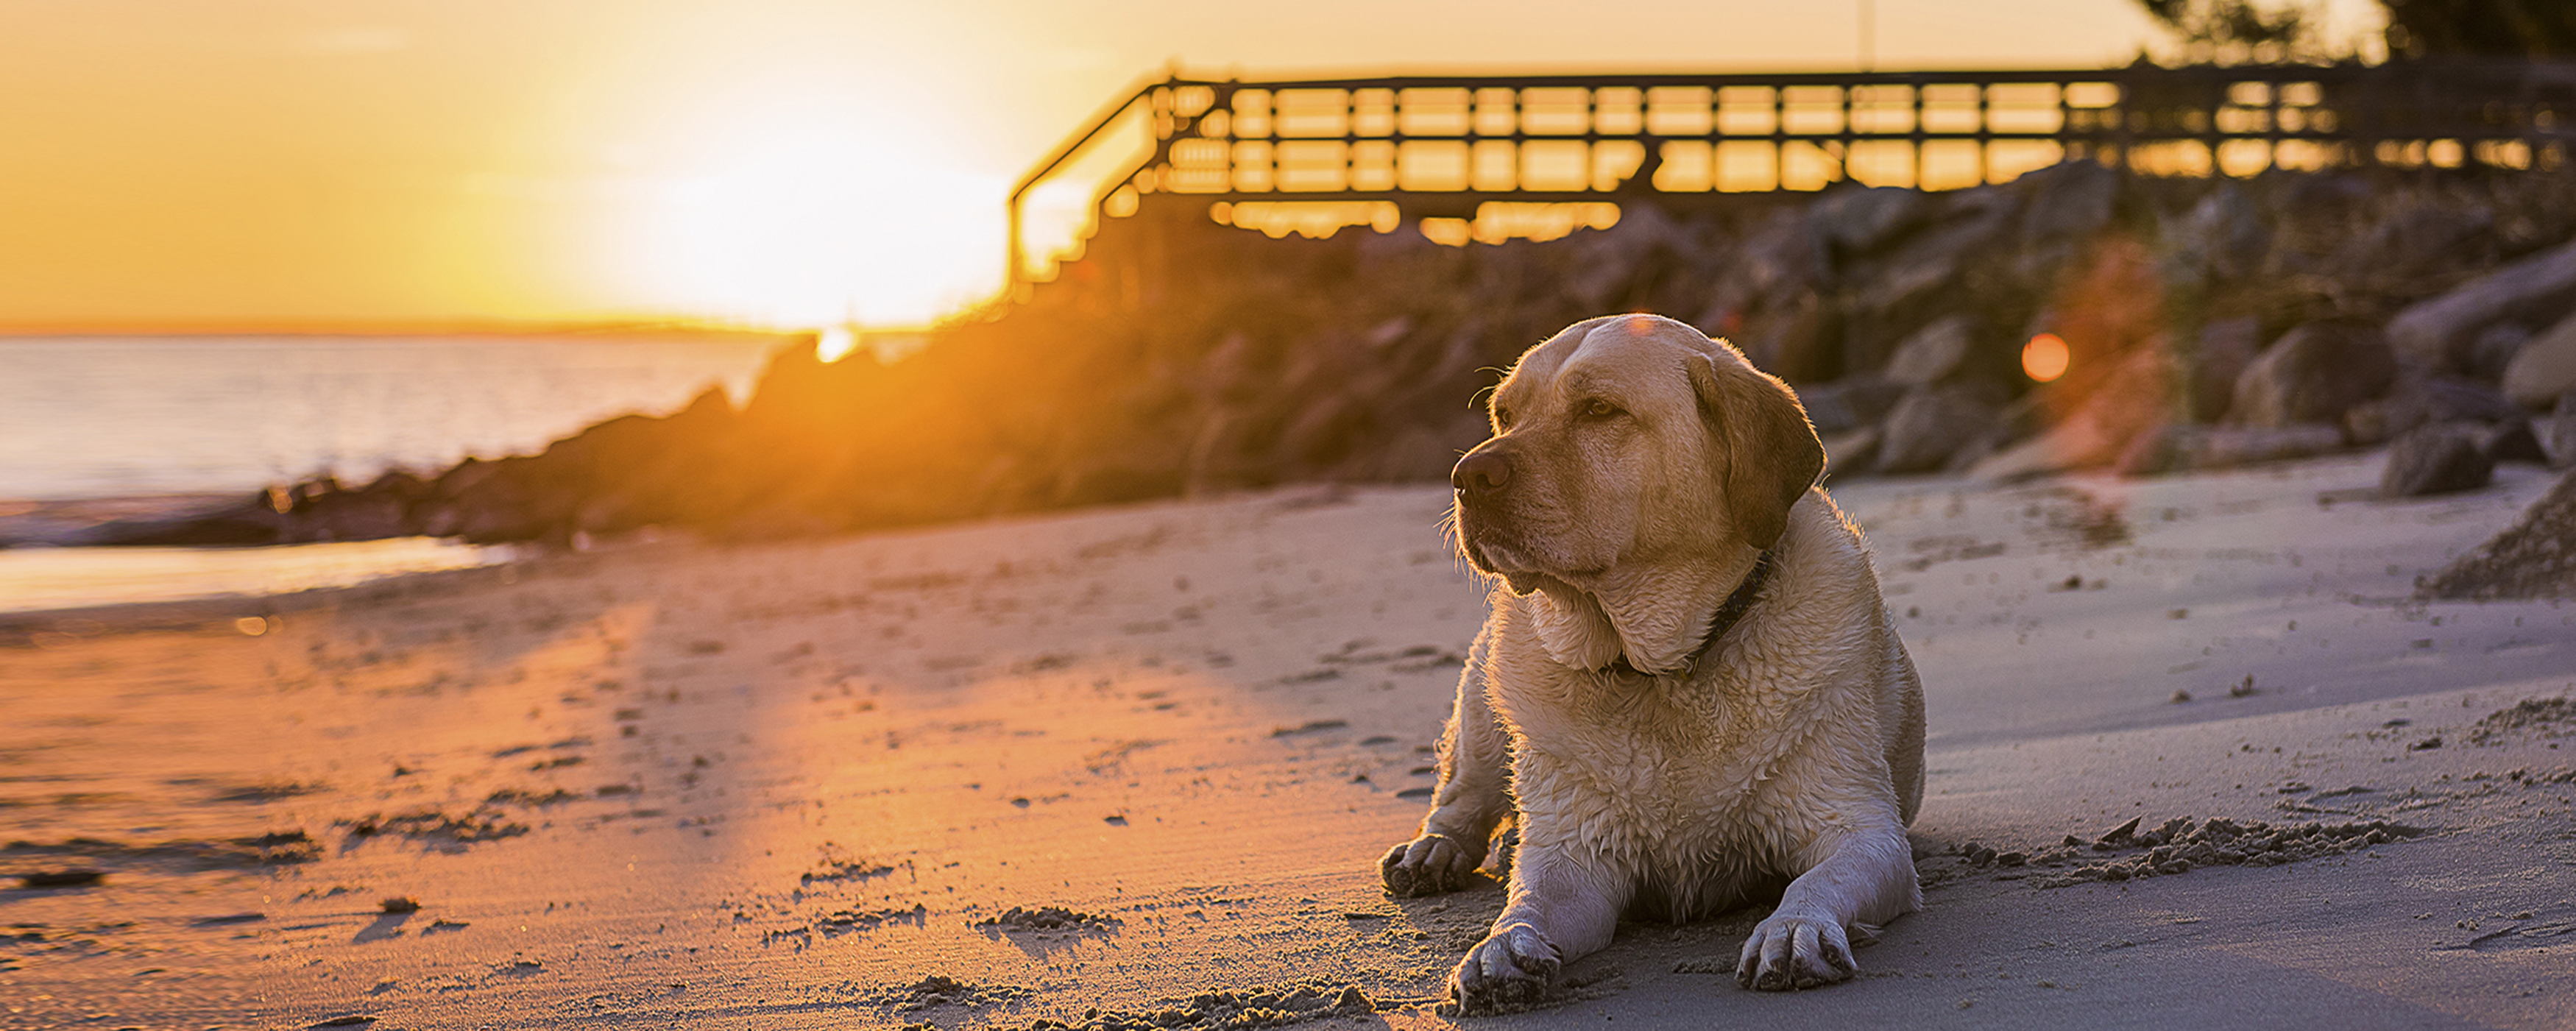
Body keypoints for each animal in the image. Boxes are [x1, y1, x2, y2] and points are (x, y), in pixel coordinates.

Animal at [1391, 311, 1917, 1005]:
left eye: (1599, 409)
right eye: (1504, 415)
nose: (1467, 476)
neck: (1659, 670)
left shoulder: (1864, 830)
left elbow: (1813, 881)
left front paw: (1793, 928)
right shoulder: (1574, 859)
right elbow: (1529, 901)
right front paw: (1501, 945)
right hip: (1483, 698)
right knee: (1462, 796)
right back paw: (1434, 852)